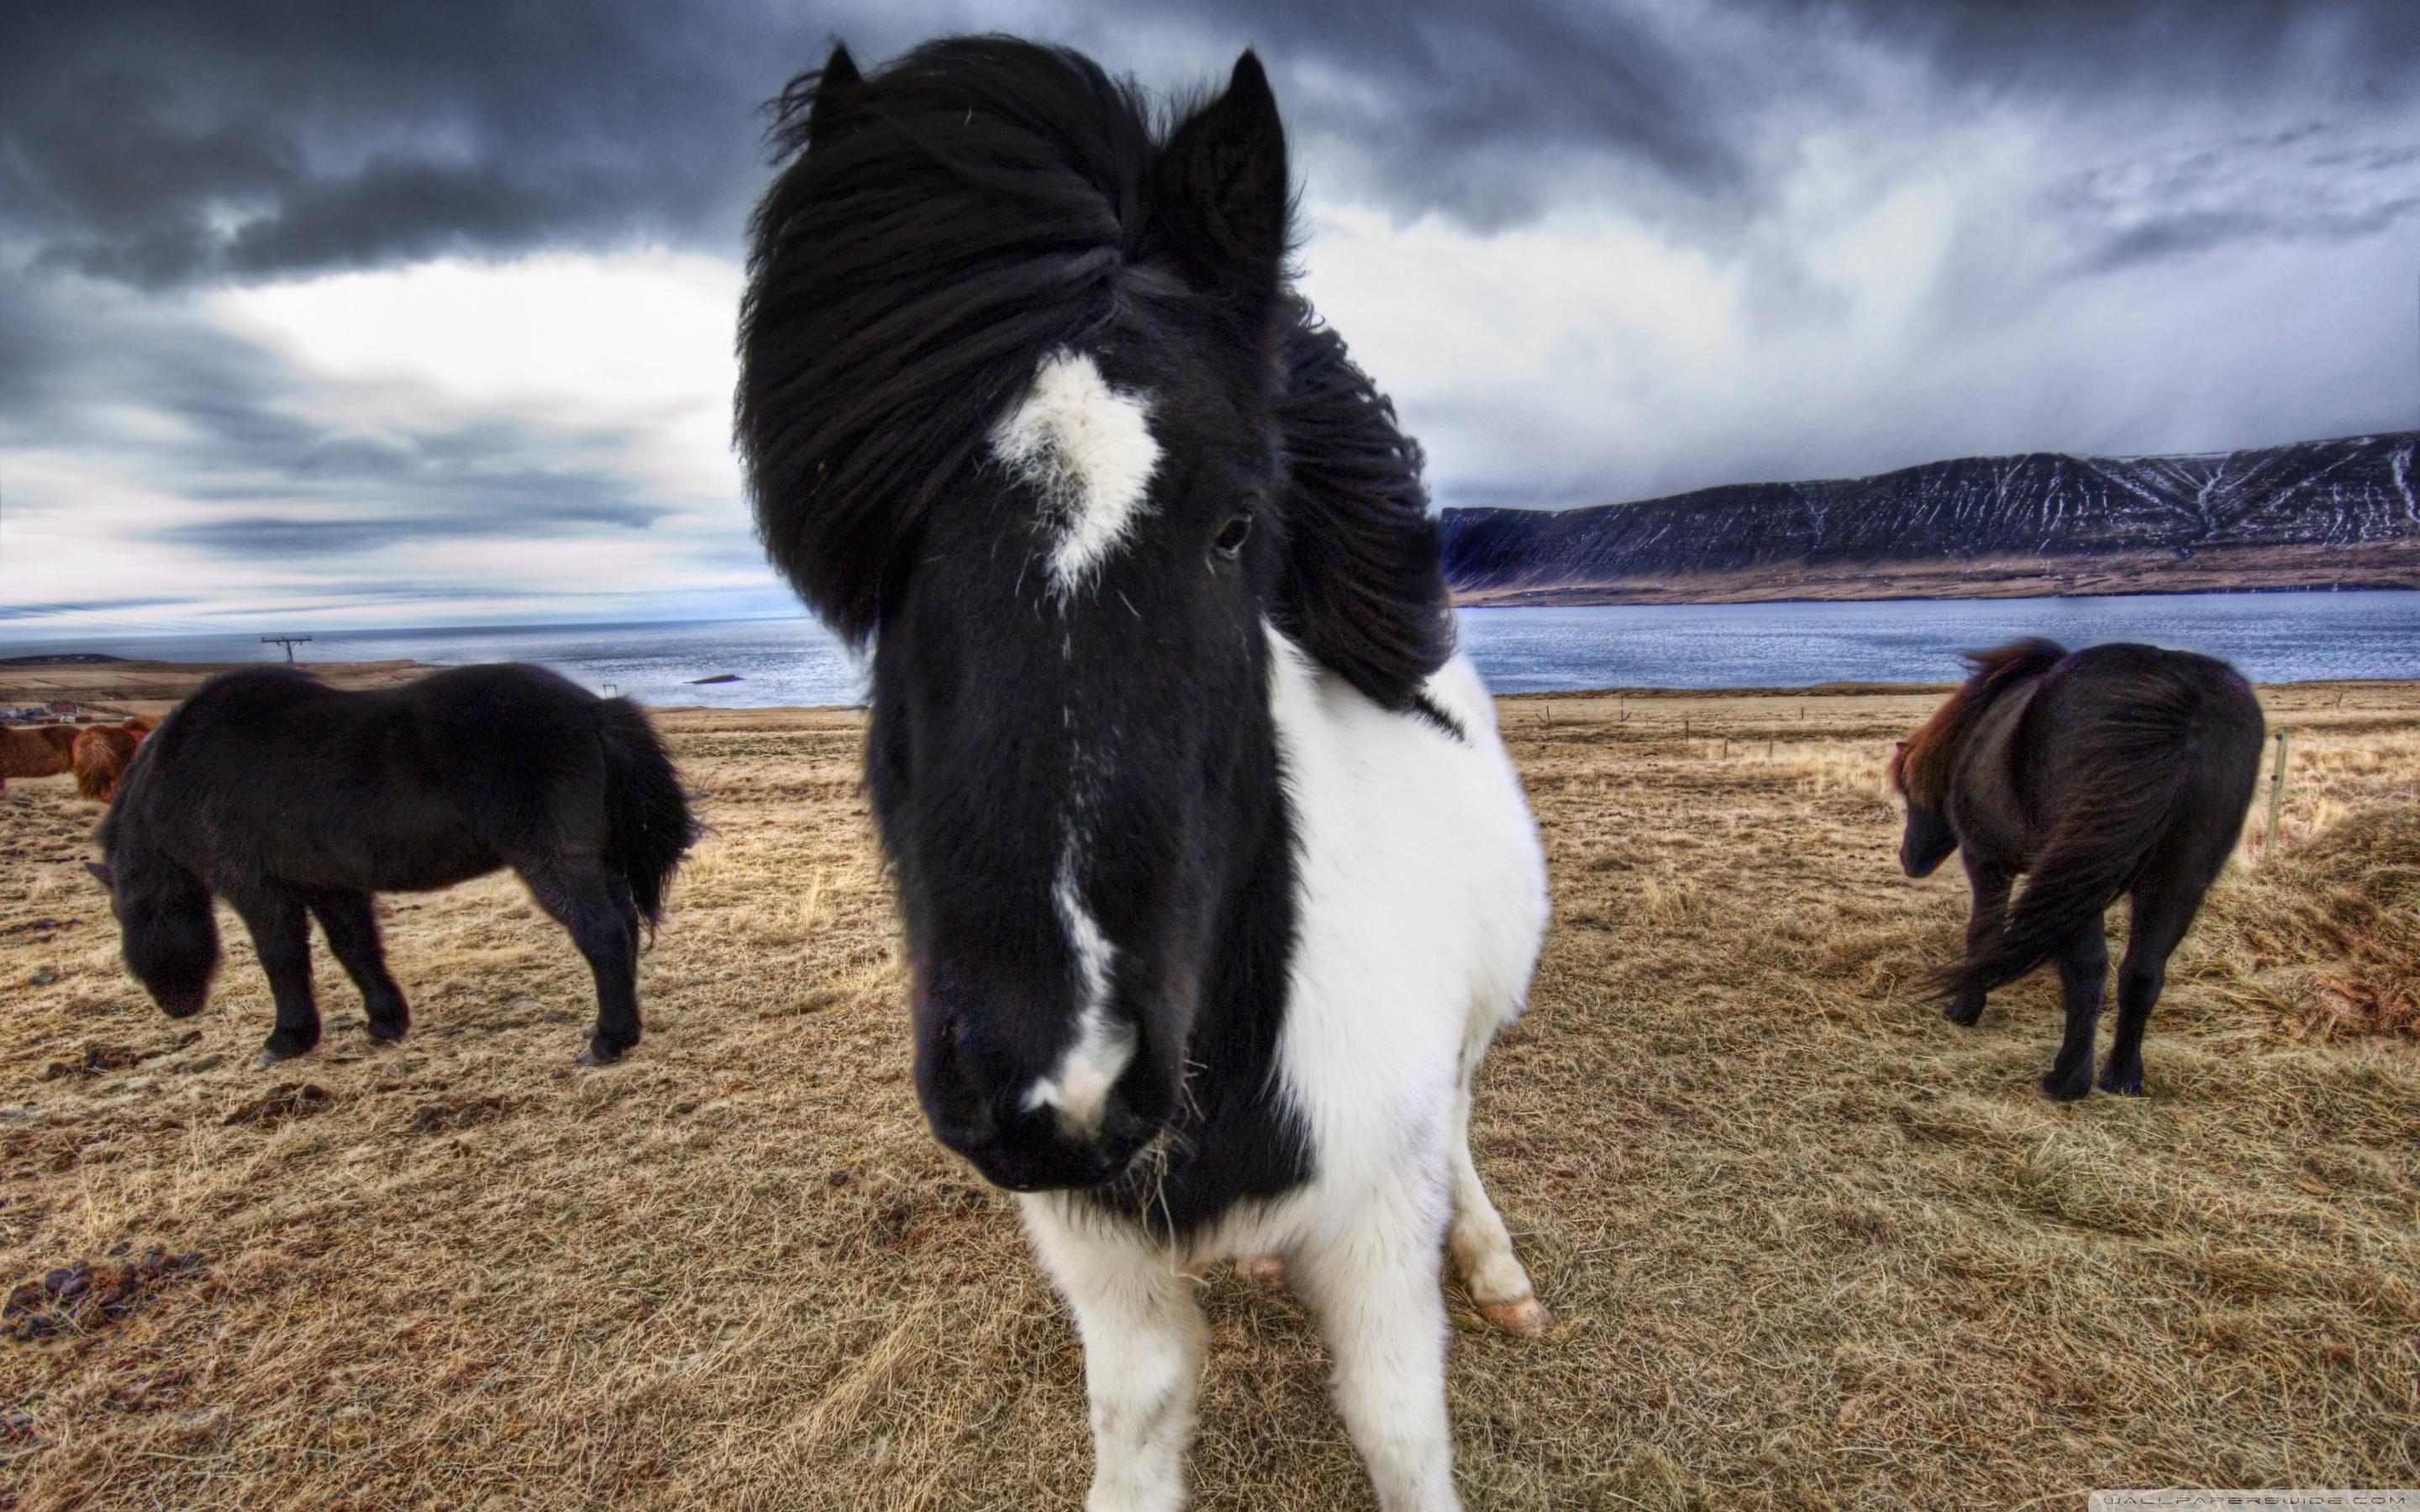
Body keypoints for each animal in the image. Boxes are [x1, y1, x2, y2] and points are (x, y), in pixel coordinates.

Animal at [89, 664, 696, 1067]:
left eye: (132, 914)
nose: (176, 1004)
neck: (182, 770)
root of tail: (593, 709)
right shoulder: (328, 884)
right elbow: (355, 948)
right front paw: (385, 1021)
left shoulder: (257, 888)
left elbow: (282, 959)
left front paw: (287, 1039)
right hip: (591, 858)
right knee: (623, 923)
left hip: (553, 860)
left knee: (602, 931)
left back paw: (607, 1040)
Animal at [740, 38, 1550, 1511]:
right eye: (886, 551)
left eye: (1235, 527)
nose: (1058, 1081)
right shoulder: (1097, 1254)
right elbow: (1142, 1416)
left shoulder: (1375, 1228)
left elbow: (1401, 1426)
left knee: (1463, 1122)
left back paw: (1495, 1258)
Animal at [1890, 640, 2264, 1099]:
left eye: (1909, 794)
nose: (1908, 860)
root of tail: (2184, 699)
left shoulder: (1986, 860)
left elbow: (1983, 932)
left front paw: (1963, 1008)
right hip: (2173, 879)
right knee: (2142, 973)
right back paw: (2121, 1077)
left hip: (2082, 876)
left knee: (2089, 969)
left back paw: (2067, 1079)